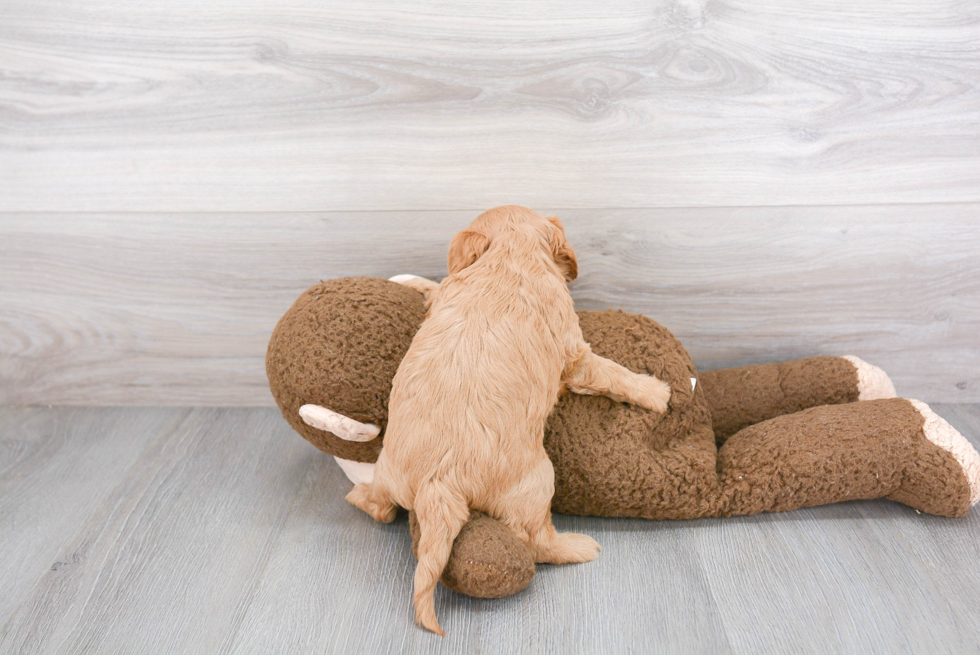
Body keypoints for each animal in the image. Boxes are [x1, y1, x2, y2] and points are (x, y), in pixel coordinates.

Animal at [346, 206, 672, 636]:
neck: (507, 259)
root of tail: (437, 482)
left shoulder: (453, 286)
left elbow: (438, 287)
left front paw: (415, 283)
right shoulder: (575, 354)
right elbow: (611, 373)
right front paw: (656, 392)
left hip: (390, 471)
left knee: (381, 508)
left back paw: (360, 495)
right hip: (538, 480)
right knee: (535, 540)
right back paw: (577, 547)